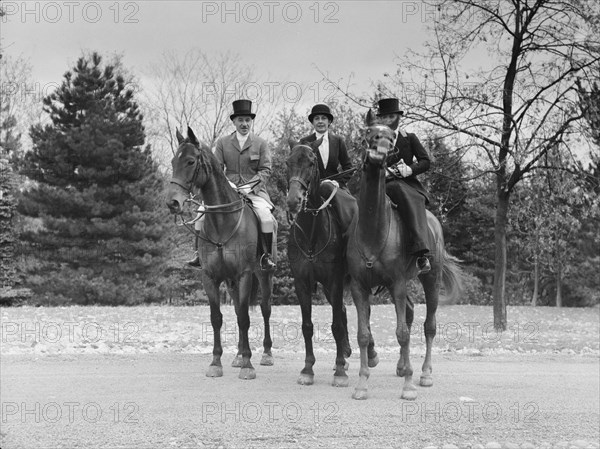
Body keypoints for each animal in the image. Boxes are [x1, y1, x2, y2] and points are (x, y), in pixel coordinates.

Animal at [166, 126, 274, 378]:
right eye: (173, 161)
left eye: (190, 161)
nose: (173, 203)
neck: (223, 221)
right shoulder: (210, 277)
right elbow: (217, 318)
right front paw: (216, 362)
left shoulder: (244, 275)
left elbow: (245, 318)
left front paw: (248, 365)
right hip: (231, 282)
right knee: (236, 309)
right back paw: (238, 355)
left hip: (263, 275)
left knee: (265, 309)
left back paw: (265, 354)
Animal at [284, 142, 354, 386]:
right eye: (288, 162)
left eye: (311, 163)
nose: (293, 200)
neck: (312, 233)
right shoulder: (302, 283)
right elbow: (307, 326)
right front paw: (307, 369)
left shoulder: (334, 281)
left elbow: (336, 325)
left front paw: (341, 371)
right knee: (342, 310)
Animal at [346, 109, 464, 400]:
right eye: (368, 132)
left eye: (391, 136)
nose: (380, 152)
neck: (373, 229)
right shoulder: (359, 287)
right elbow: (363, 334)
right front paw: (362, 384)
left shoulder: (397, 284)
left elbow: (402, 333)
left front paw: (409, 386)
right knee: (410, 314)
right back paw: (402, 366)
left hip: (430, 279)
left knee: (428, 325)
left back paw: (424, 373)